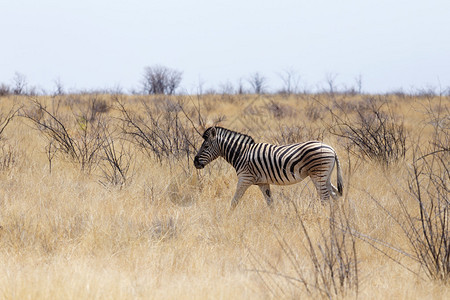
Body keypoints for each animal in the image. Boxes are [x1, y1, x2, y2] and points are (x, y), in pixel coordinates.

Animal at [193, 126, 344, 211]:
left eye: (206, 146)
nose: (195, 162)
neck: (241, 154)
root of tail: (332, 149)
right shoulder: (263, 182)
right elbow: (270, 203)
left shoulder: (244, 178)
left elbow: (234, 201)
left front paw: (227, 217)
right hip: (325, 175)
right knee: (335, 194)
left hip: (318, 174)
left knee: (325, 197)